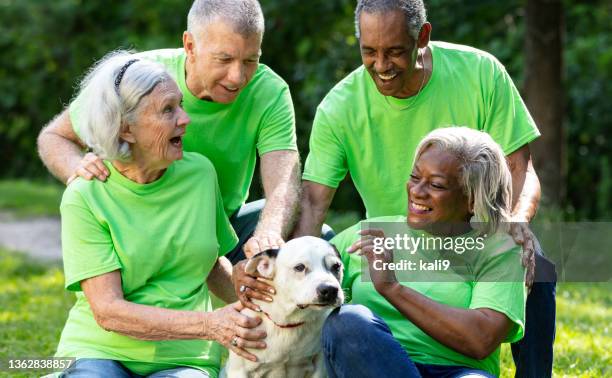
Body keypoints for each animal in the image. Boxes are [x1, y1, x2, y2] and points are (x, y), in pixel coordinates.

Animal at [222, 238, 344, 376]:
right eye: (300, 267)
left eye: (336, 266)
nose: (330, 290)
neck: (288, 322)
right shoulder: (239, 371)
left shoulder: (320, 366)